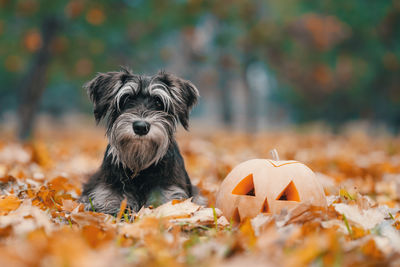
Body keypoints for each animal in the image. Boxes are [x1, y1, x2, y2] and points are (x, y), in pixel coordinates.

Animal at [80, 68, 208, 215]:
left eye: (158, 101)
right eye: (127, 98)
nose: (140, 127)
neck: (140, 168)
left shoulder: (170, 194)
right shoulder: (106, 194)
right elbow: (111, 205)